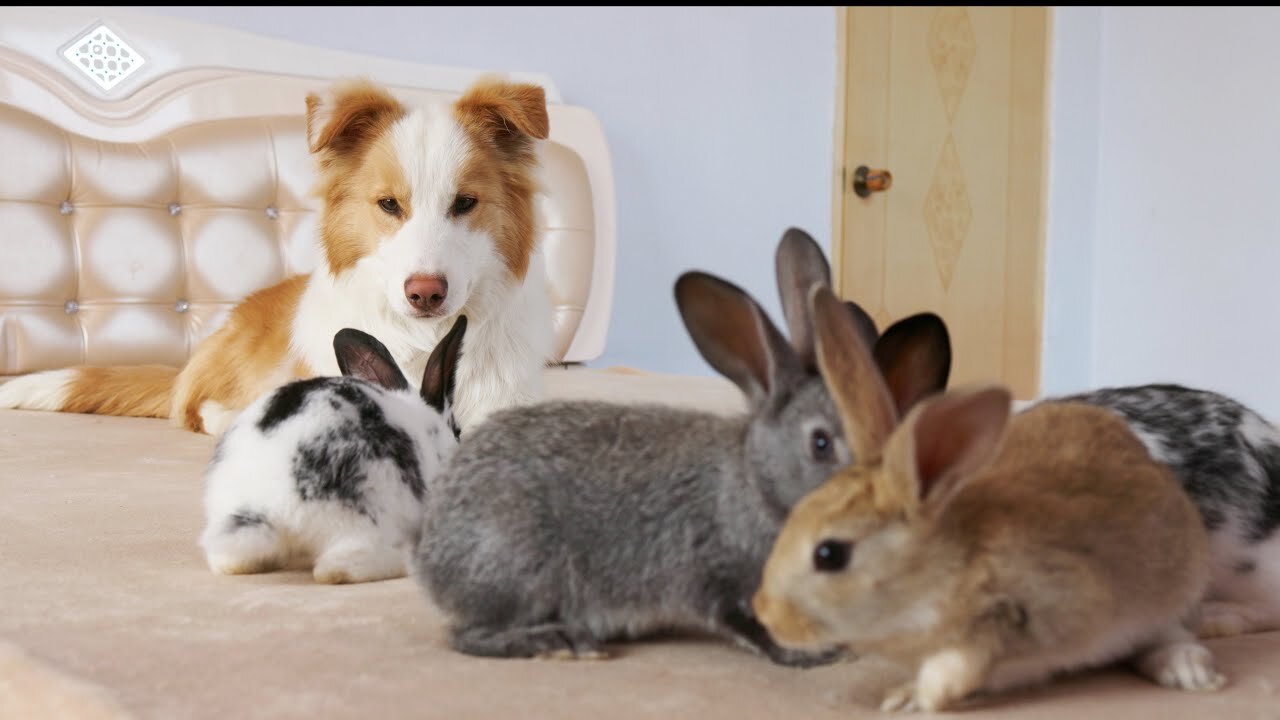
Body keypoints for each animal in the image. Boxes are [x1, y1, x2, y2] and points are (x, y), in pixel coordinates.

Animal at [409, 228, 952, 661]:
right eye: (821, 444)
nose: (888, 501)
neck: (756, 480)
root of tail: (429, 551)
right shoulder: (717, 576)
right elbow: (746, 623)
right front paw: (812, 655)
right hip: (519, 562)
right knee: (467, 635)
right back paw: (557, 642)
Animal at [752, 283, 1223, 707]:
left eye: (829, 554)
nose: (766, 613)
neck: (941, 569)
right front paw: (904, 693)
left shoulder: (1039, 610)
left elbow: (961, 664)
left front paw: (916, 699)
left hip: (1171, 593)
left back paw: (1190, 671)